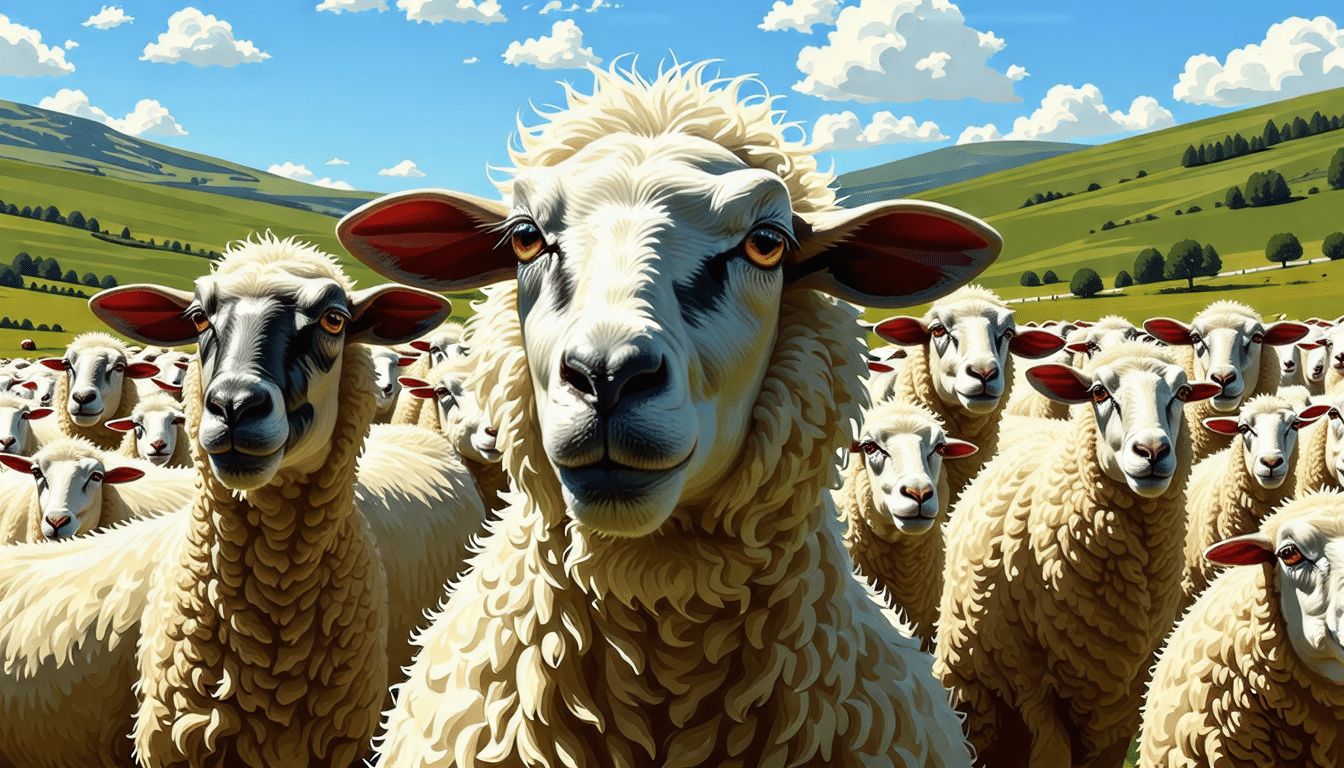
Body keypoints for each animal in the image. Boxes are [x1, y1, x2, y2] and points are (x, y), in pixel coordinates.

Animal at [936, 341, 1222, 768]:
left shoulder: (1123, 701)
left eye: (1183, 393)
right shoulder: (1029, 683)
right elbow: (1051, 753)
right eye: (1099, 392)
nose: (1152, 451)